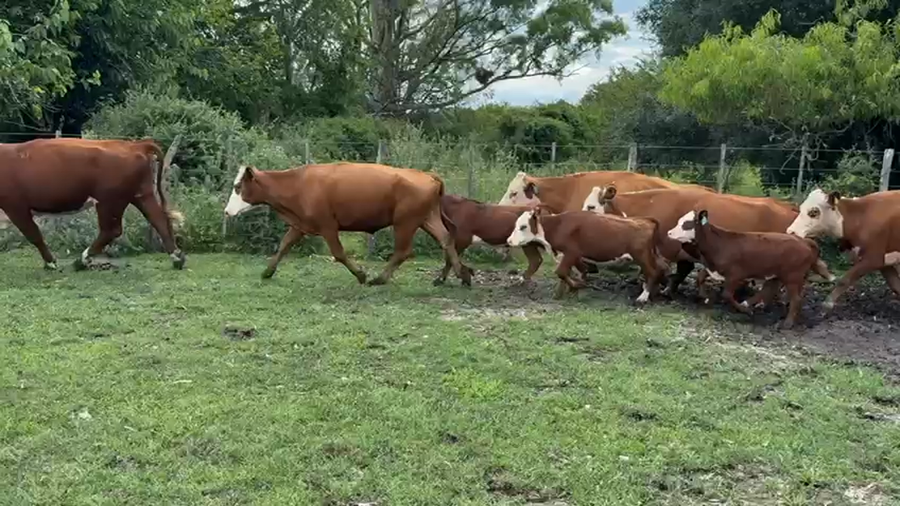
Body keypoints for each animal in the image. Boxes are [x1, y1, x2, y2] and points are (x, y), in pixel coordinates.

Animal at [0, 138, 185, 270]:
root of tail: (134, 145)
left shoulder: (15, 206)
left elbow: (34, 234)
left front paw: (51, 263)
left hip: (109, 201)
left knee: (111, 230)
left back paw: (82, 260)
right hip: (141, 194)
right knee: (159, 219)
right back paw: (177, 257)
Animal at [223, 162, 471, 286]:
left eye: (238, 187)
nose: (226, 211)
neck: (298, 183)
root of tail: (428, 175)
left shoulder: (328, 226)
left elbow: (339, 254)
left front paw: (360, 275)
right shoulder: (300, 225)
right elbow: (284, 246)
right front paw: (267, 271)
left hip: (405, 222)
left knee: (403, 251)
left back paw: (379, 279)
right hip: (427, 218)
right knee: (446, 239)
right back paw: (457, 275)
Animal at [505, 207, 667, 302]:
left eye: (523, 226)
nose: (509, 240)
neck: (557, 225)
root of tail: (646, 220)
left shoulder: (571, 253)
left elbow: (561, 272)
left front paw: (577, 286)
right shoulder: (573, 256)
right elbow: (578, 271)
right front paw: (566, 291)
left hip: (642, 256)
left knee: (652, 272)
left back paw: (643, 297)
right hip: (650, 255)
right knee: (660, 269)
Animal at [581, 185, 835, 300]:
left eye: (591, 206)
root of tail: (787, 207)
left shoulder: (665, 251)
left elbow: (657, 272)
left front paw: (648, 293)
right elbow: (680, 273)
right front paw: (669, 290)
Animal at [667, 209, 822, 329]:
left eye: (687, 224)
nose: (668, 233)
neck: (719, 243)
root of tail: (804, 241)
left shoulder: (735, 274)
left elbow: (727, 294)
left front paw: (743, 310)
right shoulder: (713, 268)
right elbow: (700, 277)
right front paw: (704, 297)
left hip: (792, 276)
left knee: (796, 298)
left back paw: (787, 323)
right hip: (778, 274)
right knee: (769, 290)